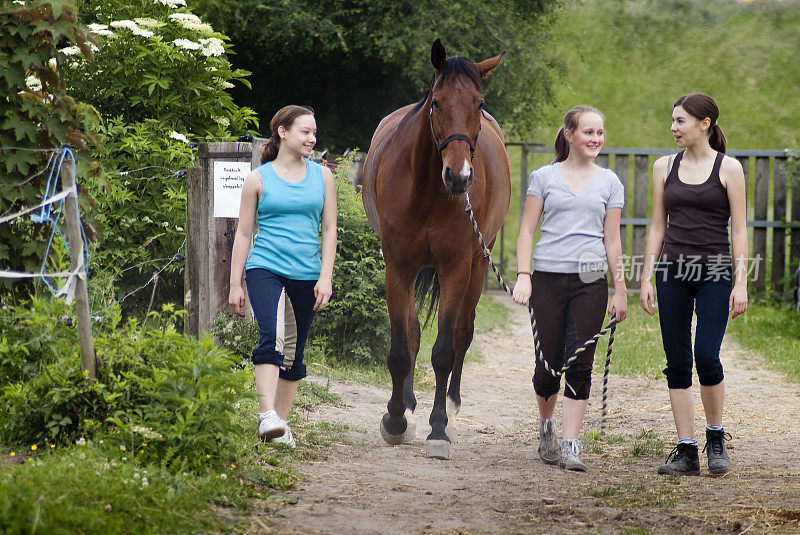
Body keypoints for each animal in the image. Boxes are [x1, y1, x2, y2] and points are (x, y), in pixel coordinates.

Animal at [364, 39, 510, 458]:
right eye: (437, 103)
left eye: (479, 103)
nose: (459, 176)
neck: (428, 190)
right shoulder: (398, 267)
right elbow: (402, 346)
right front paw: (396, 420)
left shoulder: (455, 267)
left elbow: (444, 349)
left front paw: (439, 429)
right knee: (414, 333)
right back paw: (410, 405)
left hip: (479, 265)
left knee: (463, 332)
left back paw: (452, 406)